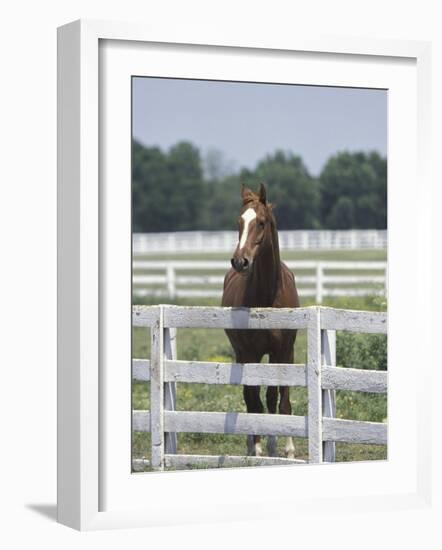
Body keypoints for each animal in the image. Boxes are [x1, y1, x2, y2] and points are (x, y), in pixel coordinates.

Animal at [221, 183, 300, 460]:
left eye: (262, 222)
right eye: (239, 222)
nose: (240, 261)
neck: (268, 295)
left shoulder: (285, 351)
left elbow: (282, 400)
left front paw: (288, 450)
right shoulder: (250, 352)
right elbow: (253, 399)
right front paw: (256, 448)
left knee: (271, 397)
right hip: (242, 353)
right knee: (250, 397)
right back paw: (252, 444)